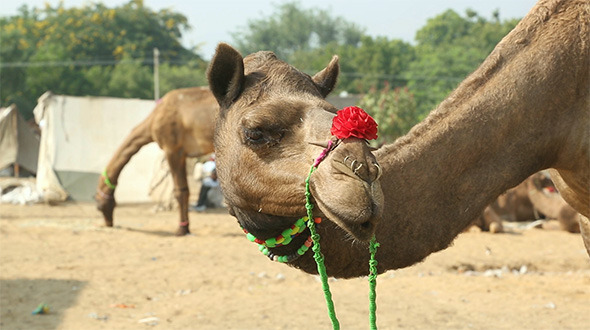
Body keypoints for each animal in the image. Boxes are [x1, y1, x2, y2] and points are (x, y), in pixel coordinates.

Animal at [96, 85, 219, 235]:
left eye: (98, 205)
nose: (108, 223)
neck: (152, 121)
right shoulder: (182, 154)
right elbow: (185, 189)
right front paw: (186, 227)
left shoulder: (172, 149)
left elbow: (180, 191)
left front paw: (181, 229)